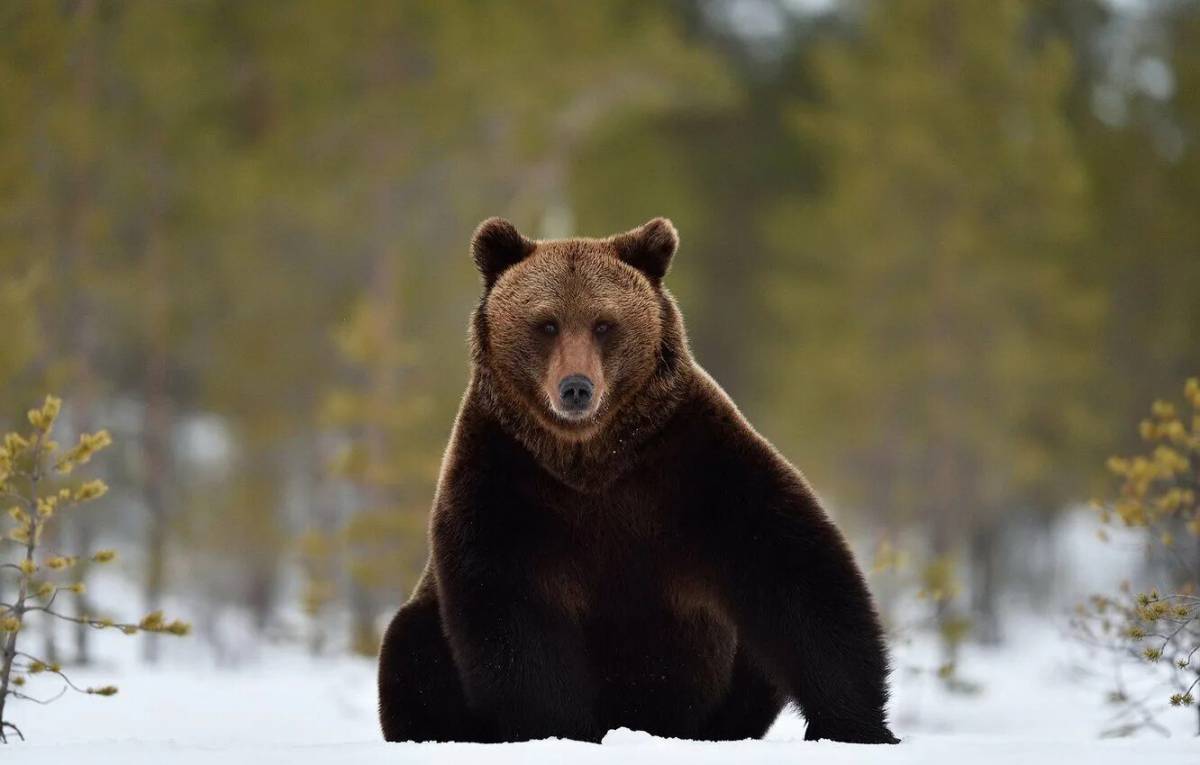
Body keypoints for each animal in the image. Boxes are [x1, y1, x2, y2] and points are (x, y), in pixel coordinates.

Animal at [379, 218, 897, 748]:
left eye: (604, 324)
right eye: (547, 324)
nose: (576, 388)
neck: (590, 458)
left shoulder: (690, 464)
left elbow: (792, 570)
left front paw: (854, 725)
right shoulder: (505, 482)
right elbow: (512, 616)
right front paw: (555, 730)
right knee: (411, 645)